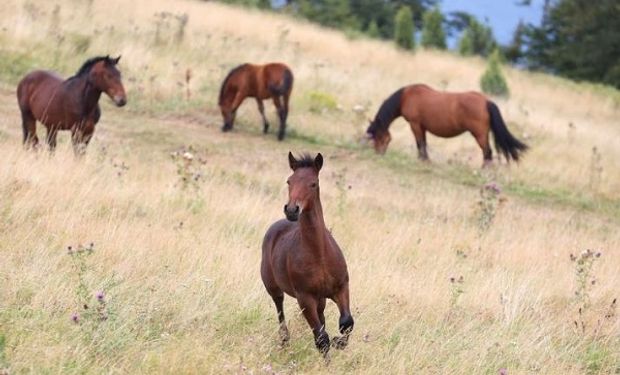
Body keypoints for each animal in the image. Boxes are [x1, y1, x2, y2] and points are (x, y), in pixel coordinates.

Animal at [262, 152, 356, 356]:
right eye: (289, 181)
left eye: (313, 183)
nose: (292, 210)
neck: (319, 255)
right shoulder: (305, 298)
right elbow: (321, 338)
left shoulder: (342, 287)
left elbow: (346, 322)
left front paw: (339, 342)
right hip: (274, 288)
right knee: (280, 311)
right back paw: (284, 340)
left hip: (321, 299)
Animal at [364, 85, 528, 164]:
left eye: (381, 137)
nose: (379, 154)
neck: (406, 96)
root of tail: (486, 101)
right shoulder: (422, 126)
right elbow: (423, 143)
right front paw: (425, 160)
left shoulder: (415, 124)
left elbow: (420, 144)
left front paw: (423, 160)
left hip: (480, 135)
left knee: (487, 152)